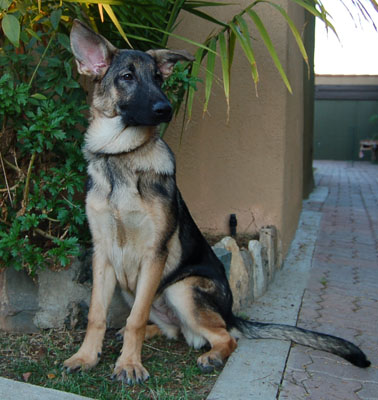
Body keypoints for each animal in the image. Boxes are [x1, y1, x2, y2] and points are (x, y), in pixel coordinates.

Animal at [64, 19, 370, 384]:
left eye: (159, 79)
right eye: (127, 76)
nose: (165, 109)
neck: (120, 155)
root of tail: (231, 313)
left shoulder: (155, 252)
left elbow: (137, 317)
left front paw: (129, 364)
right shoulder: (103, 252)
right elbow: (97, 314)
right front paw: (86, 357)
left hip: (182, 288)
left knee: (223, 336)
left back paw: (210, 355)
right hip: (135, 287)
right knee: (170, 329)